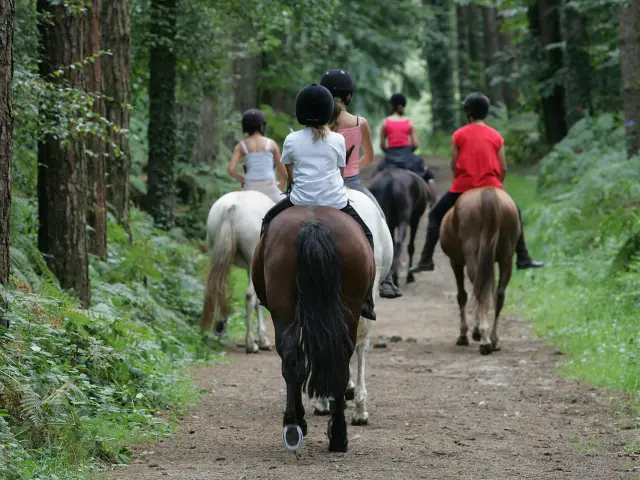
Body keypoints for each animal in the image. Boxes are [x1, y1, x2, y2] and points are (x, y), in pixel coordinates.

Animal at [199, 190, 276, 353]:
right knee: (250, 296)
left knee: (215, 288)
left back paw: (219, 326)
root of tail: (232, 207)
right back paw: (250, 344)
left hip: (215, 253)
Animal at [252, 206, 376, 453]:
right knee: (336, 359)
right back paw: (335, 435)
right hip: (346, 309)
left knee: (293, 359)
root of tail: (313, 225)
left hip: (285, 309)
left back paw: (295, 426)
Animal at [440, 187, 521, 355]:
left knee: (479, 290)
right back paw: (494, 338)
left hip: (472, 254)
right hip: (506, 256)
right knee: (498, 293)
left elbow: (462, 296)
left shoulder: (455, 262)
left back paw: (484, 340)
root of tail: (487, 193)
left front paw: (465, 334)